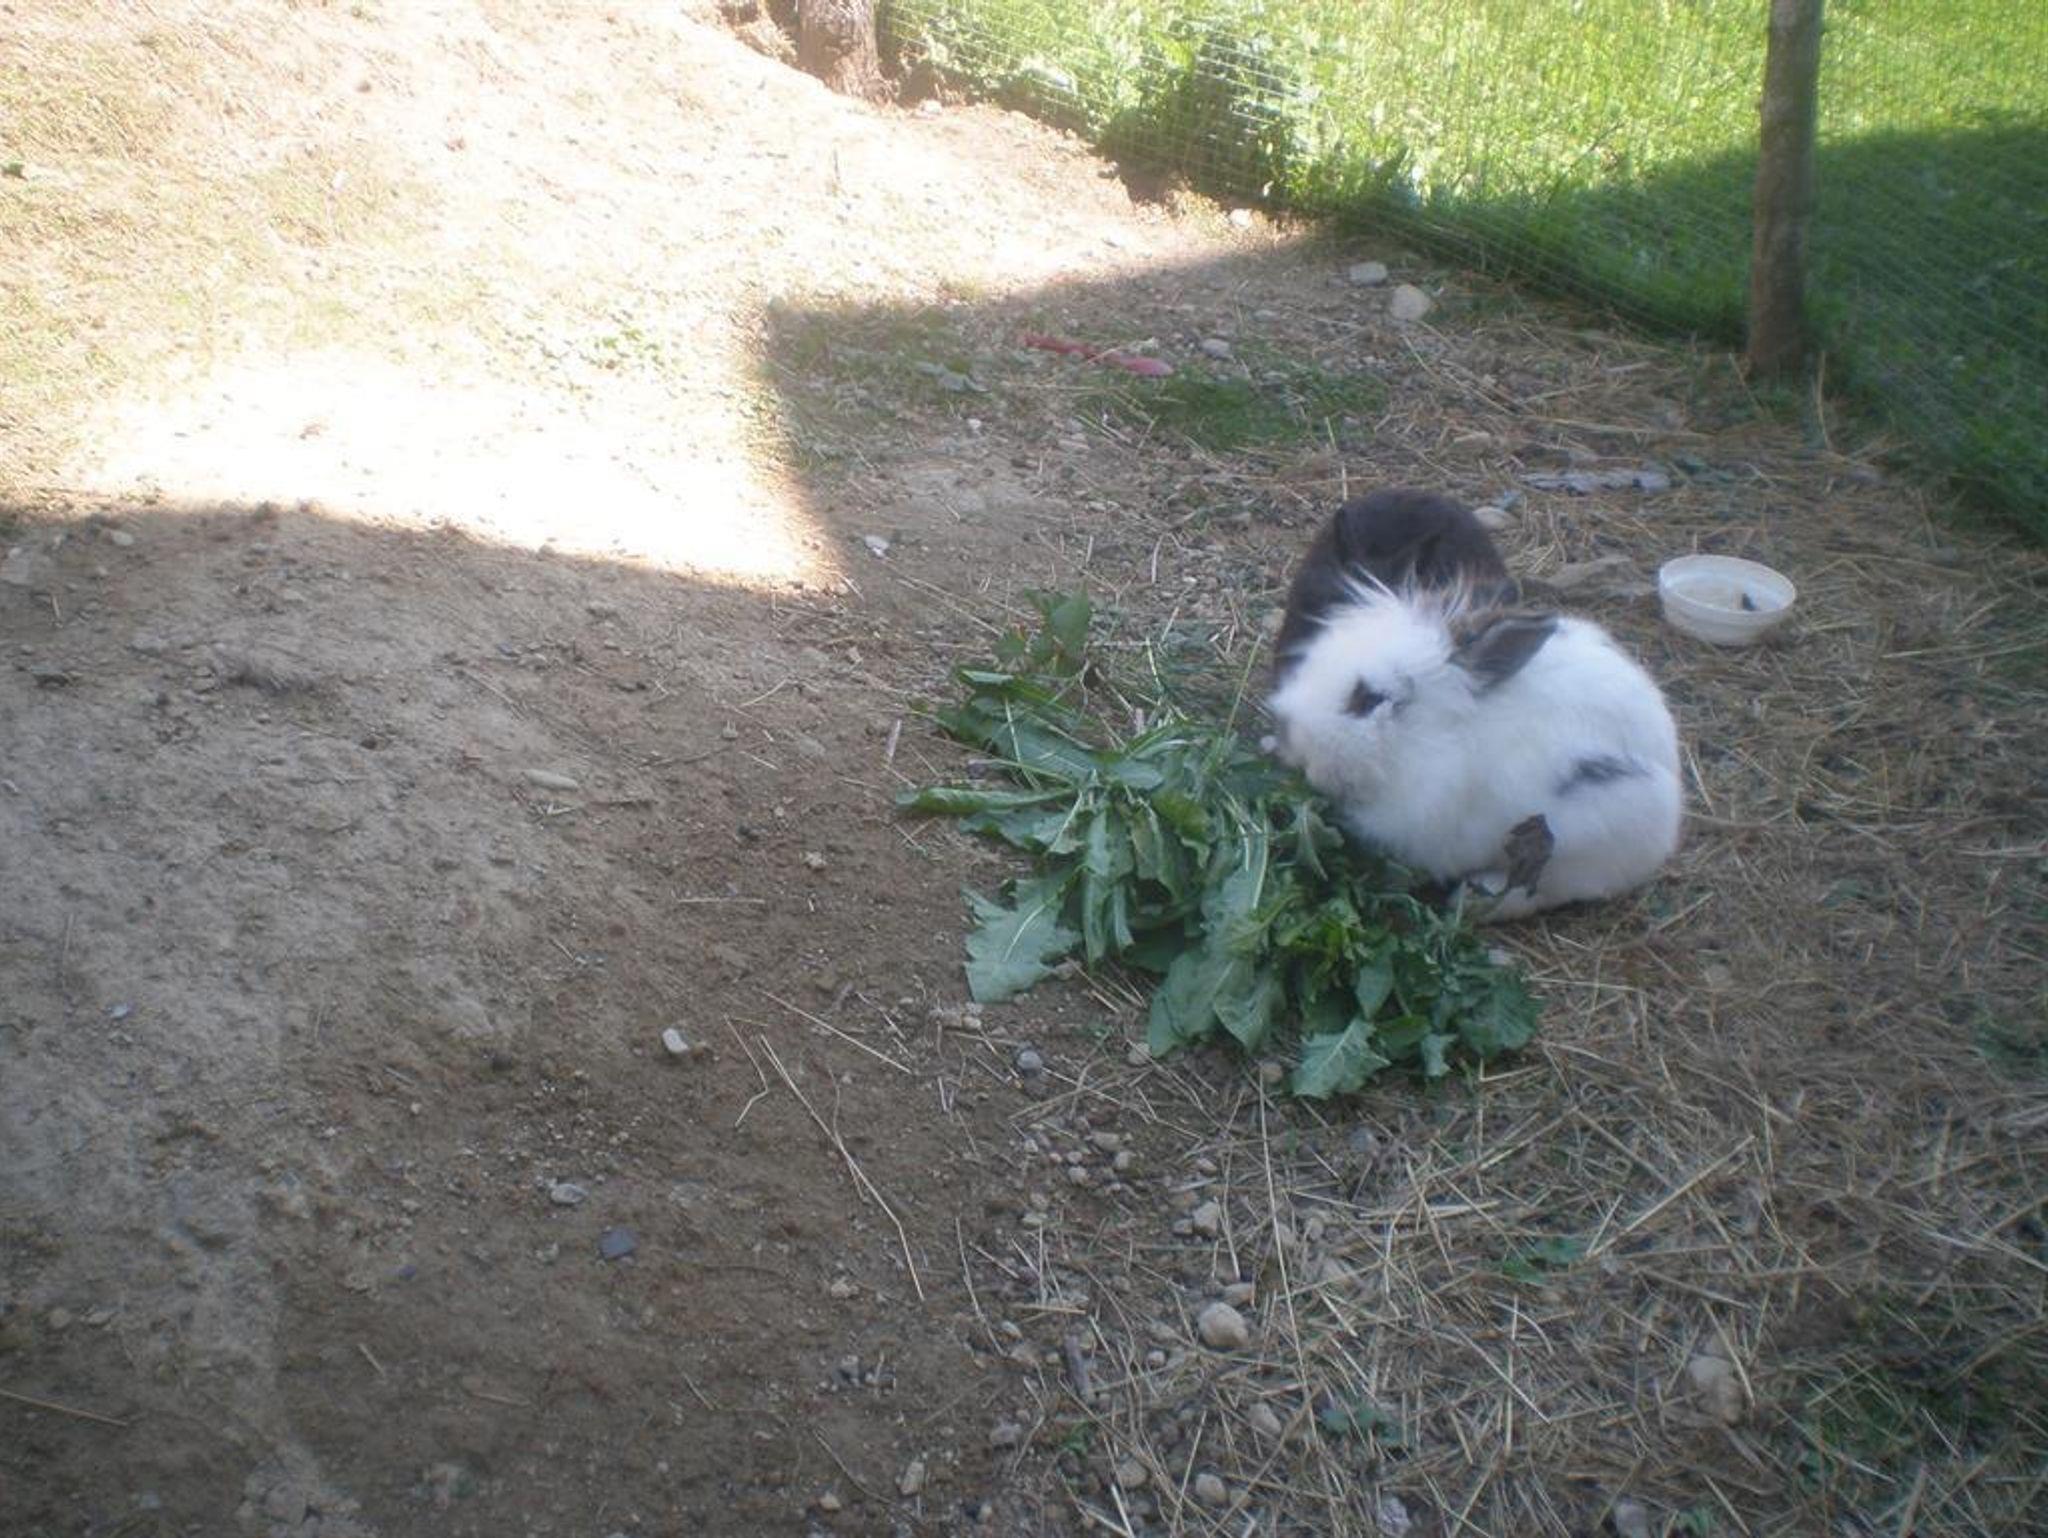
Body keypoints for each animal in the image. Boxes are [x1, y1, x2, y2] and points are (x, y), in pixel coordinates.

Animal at [1266, 585, 1682, 920]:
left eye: (1369, 699)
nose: (1288, 733)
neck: (1434, 740)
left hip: (1575, 844)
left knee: (1542, 891)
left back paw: (1472, 901)